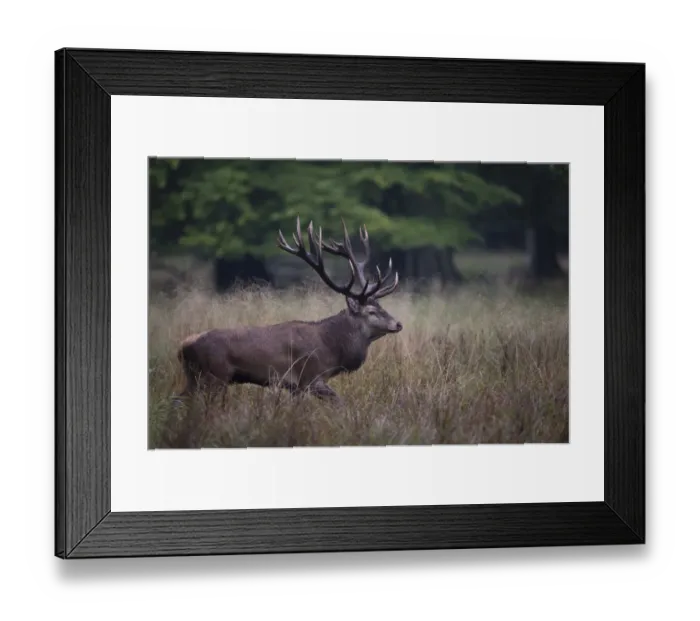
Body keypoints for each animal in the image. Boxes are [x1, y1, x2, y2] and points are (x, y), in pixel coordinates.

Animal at [174, 216, 403, 406]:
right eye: (371, 311)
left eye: (382, 307)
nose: (398, 323)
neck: (332, 348)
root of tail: (183, 347)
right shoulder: (310, 377)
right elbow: (340, 403)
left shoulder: (294, 387)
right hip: (215, 375)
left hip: (195, 377)